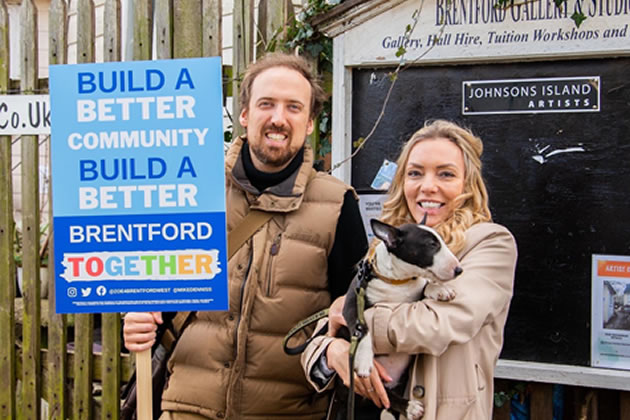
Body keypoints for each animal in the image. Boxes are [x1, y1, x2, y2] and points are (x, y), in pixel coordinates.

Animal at [341, 218, 463, 420]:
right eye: (431, 244)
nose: (459, 270)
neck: (397, 282)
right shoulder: (351, 305)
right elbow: (362, 329)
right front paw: (364, 361)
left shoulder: (413, 301)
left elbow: (425, 287)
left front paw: (440, 289)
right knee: (384, 394)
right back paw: (410, 407)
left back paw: (409, 407)